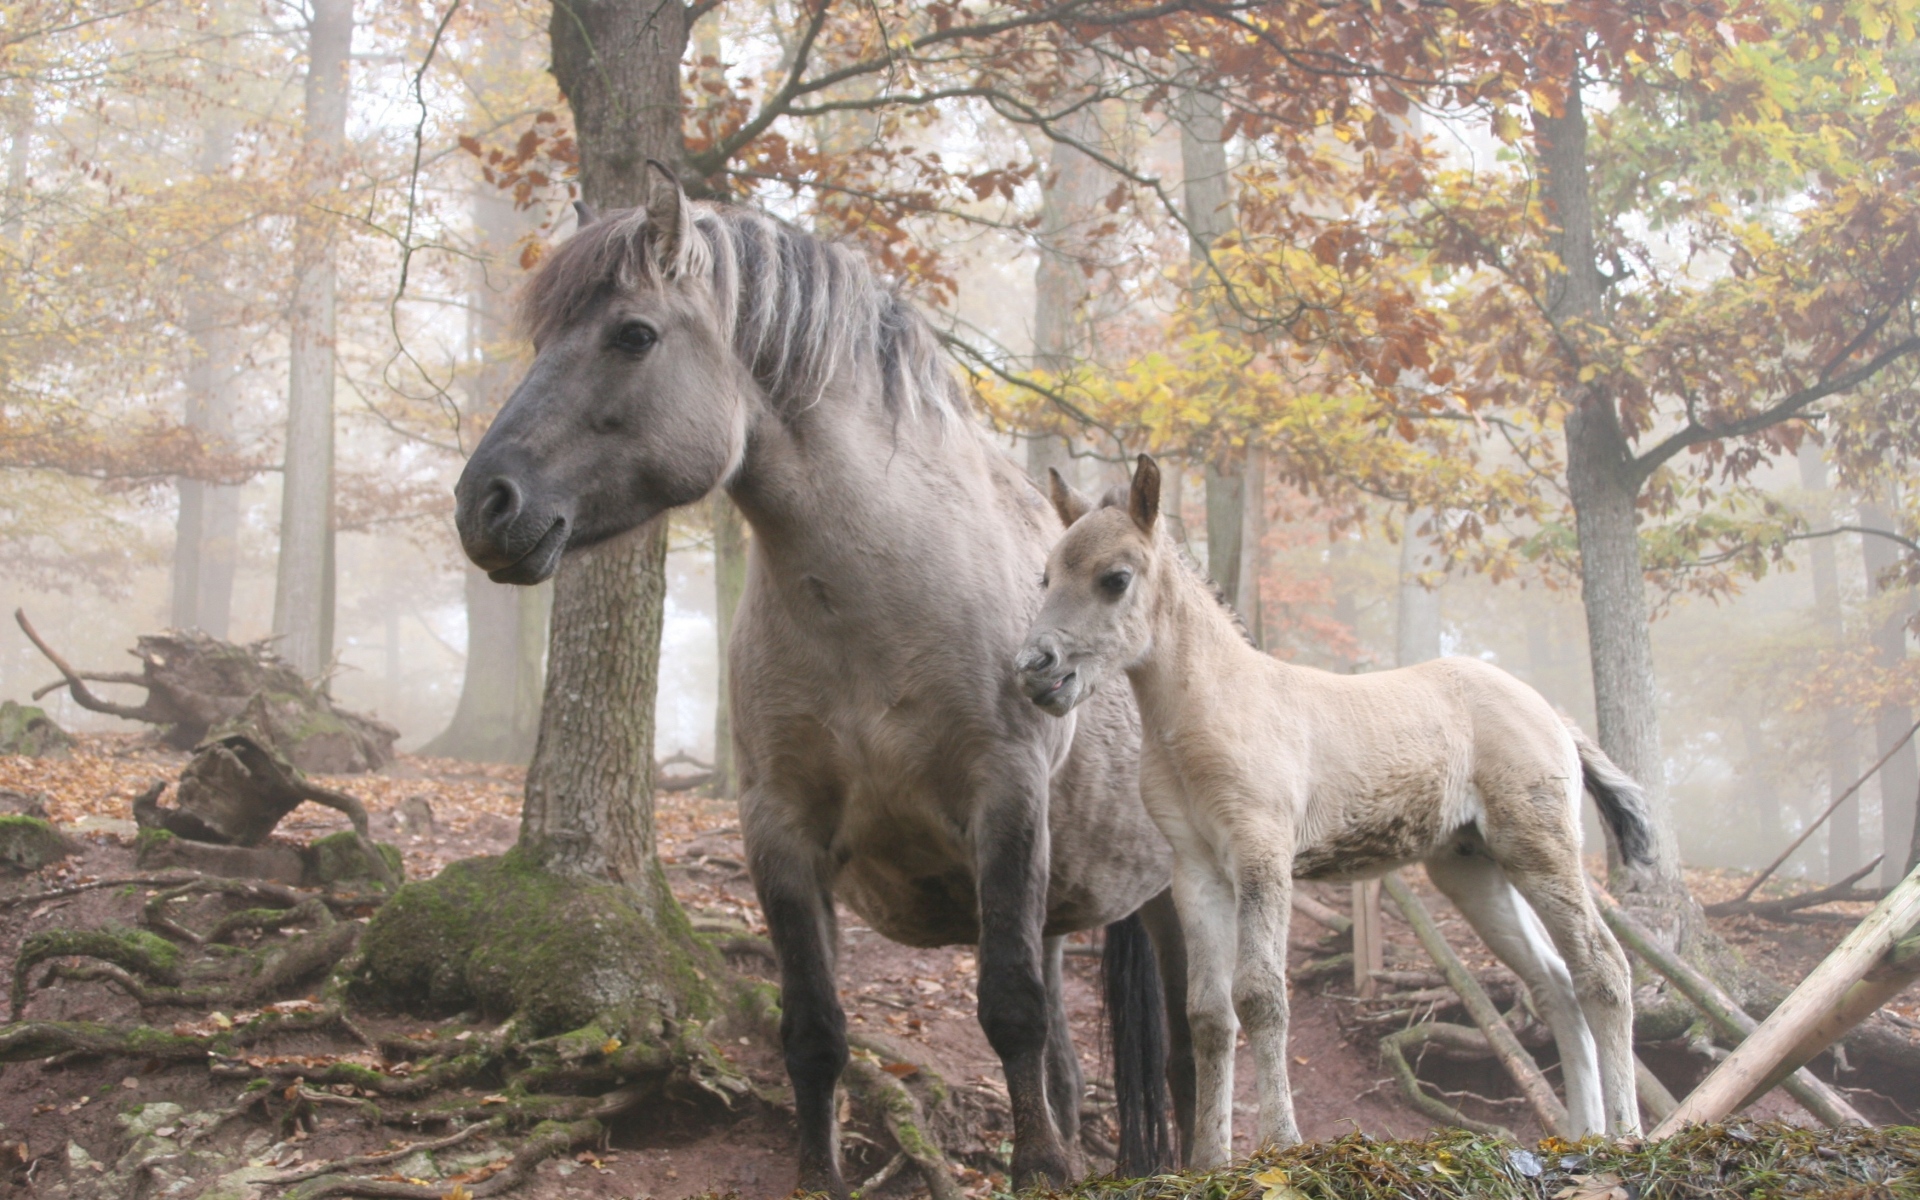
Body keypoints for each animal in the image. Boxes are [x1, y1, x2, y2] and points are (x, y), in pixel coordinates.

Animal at [451, 164, 1191, 1194]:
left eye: (633, 334)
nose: (484, 505)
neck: (876, 606)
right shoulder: (781, 830)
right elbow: (814, 1032)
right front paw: (821, 1172)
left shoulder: (1004, 800)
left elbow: (1009, 1009)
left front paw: (1039, 1172)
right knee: (1071, 1061)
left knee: (1195, 1046)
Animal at [1015, 455, 1651, 1163]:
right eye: (1046, 577)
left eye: (1115, 579)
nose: (1036, 669)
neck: (1212, 709)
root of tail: (1554, 716)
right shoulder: (1197, 871)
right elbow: (1209, 1013)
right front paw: (1209, 1161)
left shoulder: (1263, 856)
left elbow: (1261, 996)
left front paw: (1281, 1143)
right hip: (1472, 869)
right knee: (1555, 985)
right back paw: (1581, 1136)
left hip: (1539, 849)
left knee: (1603, 968)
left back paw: (1626, 1133)